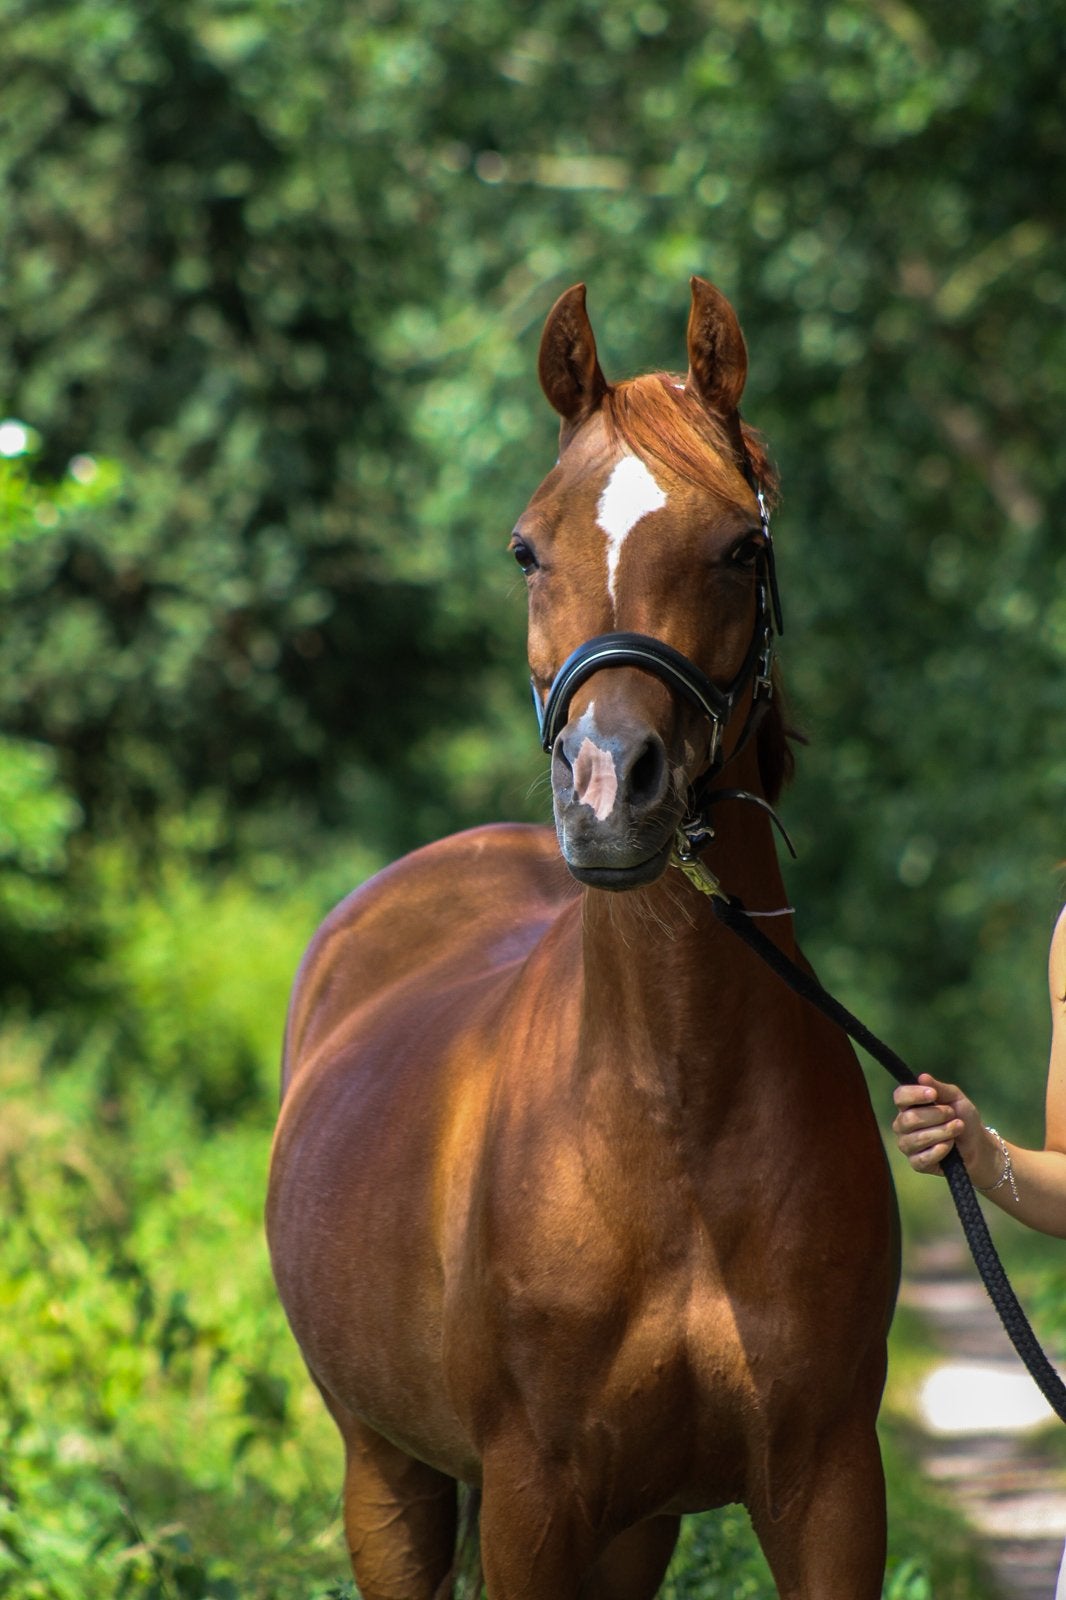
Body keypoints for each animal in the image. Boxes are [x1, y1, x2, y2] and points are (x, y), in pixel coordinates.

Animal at [266, 277, 900, 1599]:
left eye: (743, 546)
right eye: (526, 546)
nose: (611, 793)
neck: (673, 1117)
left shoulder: (827, 1489)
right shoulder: (530, 1503)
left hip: (630, 1528)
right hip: (386, 1477)